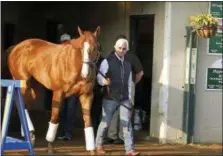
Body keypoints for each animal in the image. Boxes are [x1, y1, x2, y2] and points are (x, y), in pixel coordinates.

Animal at [6, 26, 100, 154]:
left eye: (95, 48)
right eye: (81, 47)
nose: (85, 74)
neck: (73, 64)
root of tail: (16, 47)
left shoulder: (87, 95)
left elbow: (88, 122)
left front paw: (92, 150)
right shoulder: (58, 92)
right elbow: (55, 118)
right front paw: (50, 146)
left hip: (34, 88)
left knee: (24, 106)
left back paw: (30, 135)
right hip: (23, 84)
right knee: (20, 105)